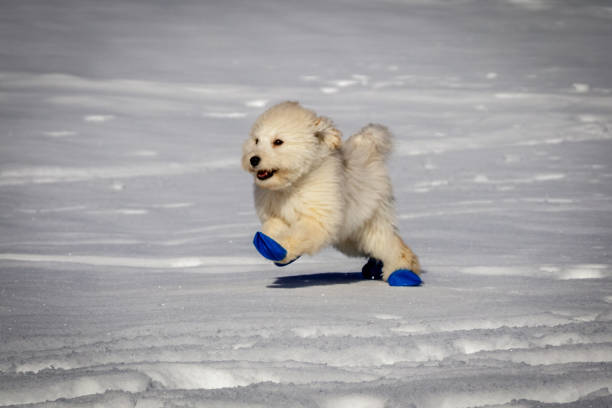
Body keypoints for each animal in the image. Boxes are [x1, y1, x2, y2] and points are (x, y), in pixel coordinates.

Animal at [241, 101, 424, 286]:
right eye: (256, 140)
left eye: (278, 141)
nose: (253, 159)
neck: (294, 184)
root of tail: (368, 149)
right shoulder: (275, 213)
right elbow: (271, 227)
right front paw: (269, 245)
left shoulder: (318, 218)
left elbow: (300, 234)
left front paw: (281, 248)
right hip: (349, 238)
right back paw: (374, 268)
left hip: (370, 222)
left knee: (390, 246)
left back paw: (402, 272)